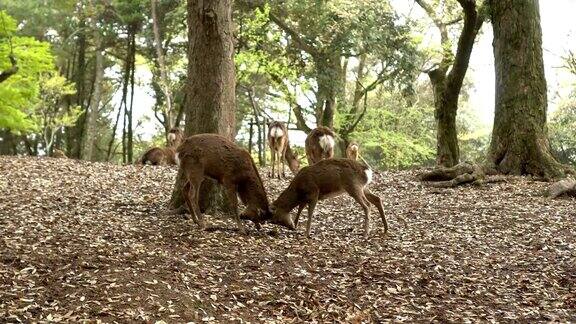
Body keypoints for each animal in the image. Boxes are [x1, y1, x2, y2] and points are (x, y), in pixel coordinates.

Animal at [272, 159, 402, 238]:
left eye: (276, 219)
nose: (291, 227)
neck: (298, 190)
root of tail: (368, 171)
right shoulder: (305, 198)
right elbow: (300, 208)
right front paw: (297, 224)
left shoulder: (314, 193)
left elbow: (309, 212)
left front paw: (307, 233)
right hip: (364, 187)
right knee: (377, 199)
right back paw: (386, 228)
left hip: (353, 186)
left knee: (367, 205)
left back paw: (365, 233)